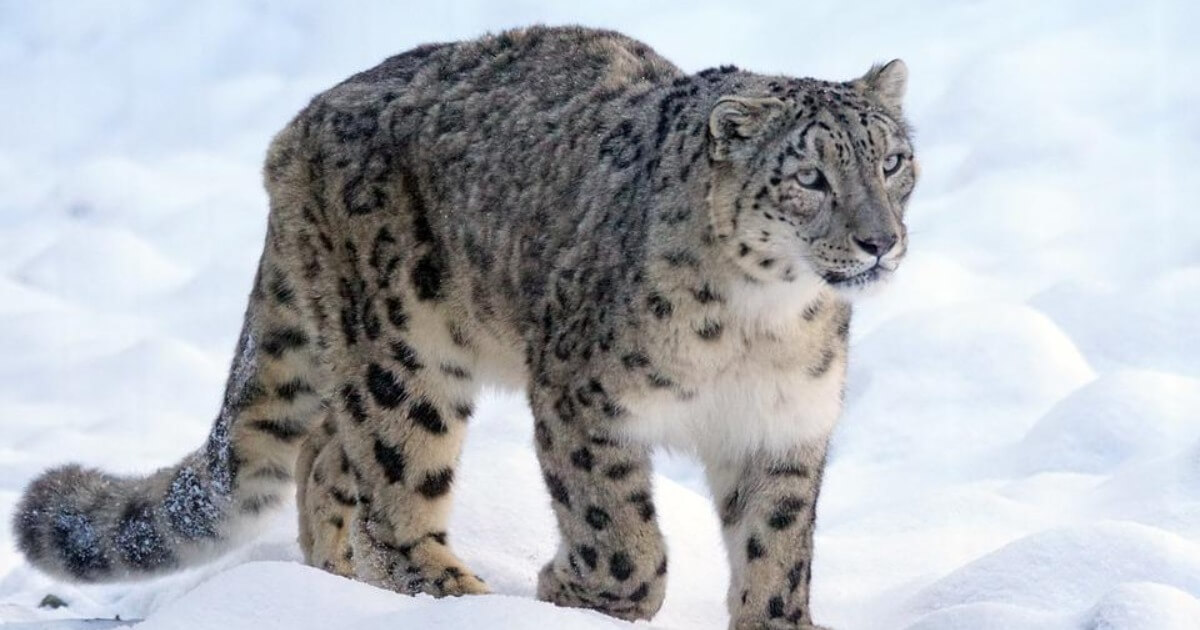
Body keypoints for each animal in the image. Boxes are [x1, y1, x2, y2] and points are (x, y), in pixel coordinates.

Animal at [11, 25, 916, 628]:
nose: (881, 239)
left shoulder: (784, 426)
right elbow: (620, 533)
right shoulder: (584, 399)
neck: (763, 326)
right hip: (402, 352)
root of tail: (298, 126)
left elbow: (777, 550)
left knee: (325, 458)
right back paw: (454, 598)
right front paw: (572, 591)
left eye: (893, 161)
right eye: (810, 176)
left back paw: (335, 585)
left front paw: (775, 616)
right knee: (391, 491)